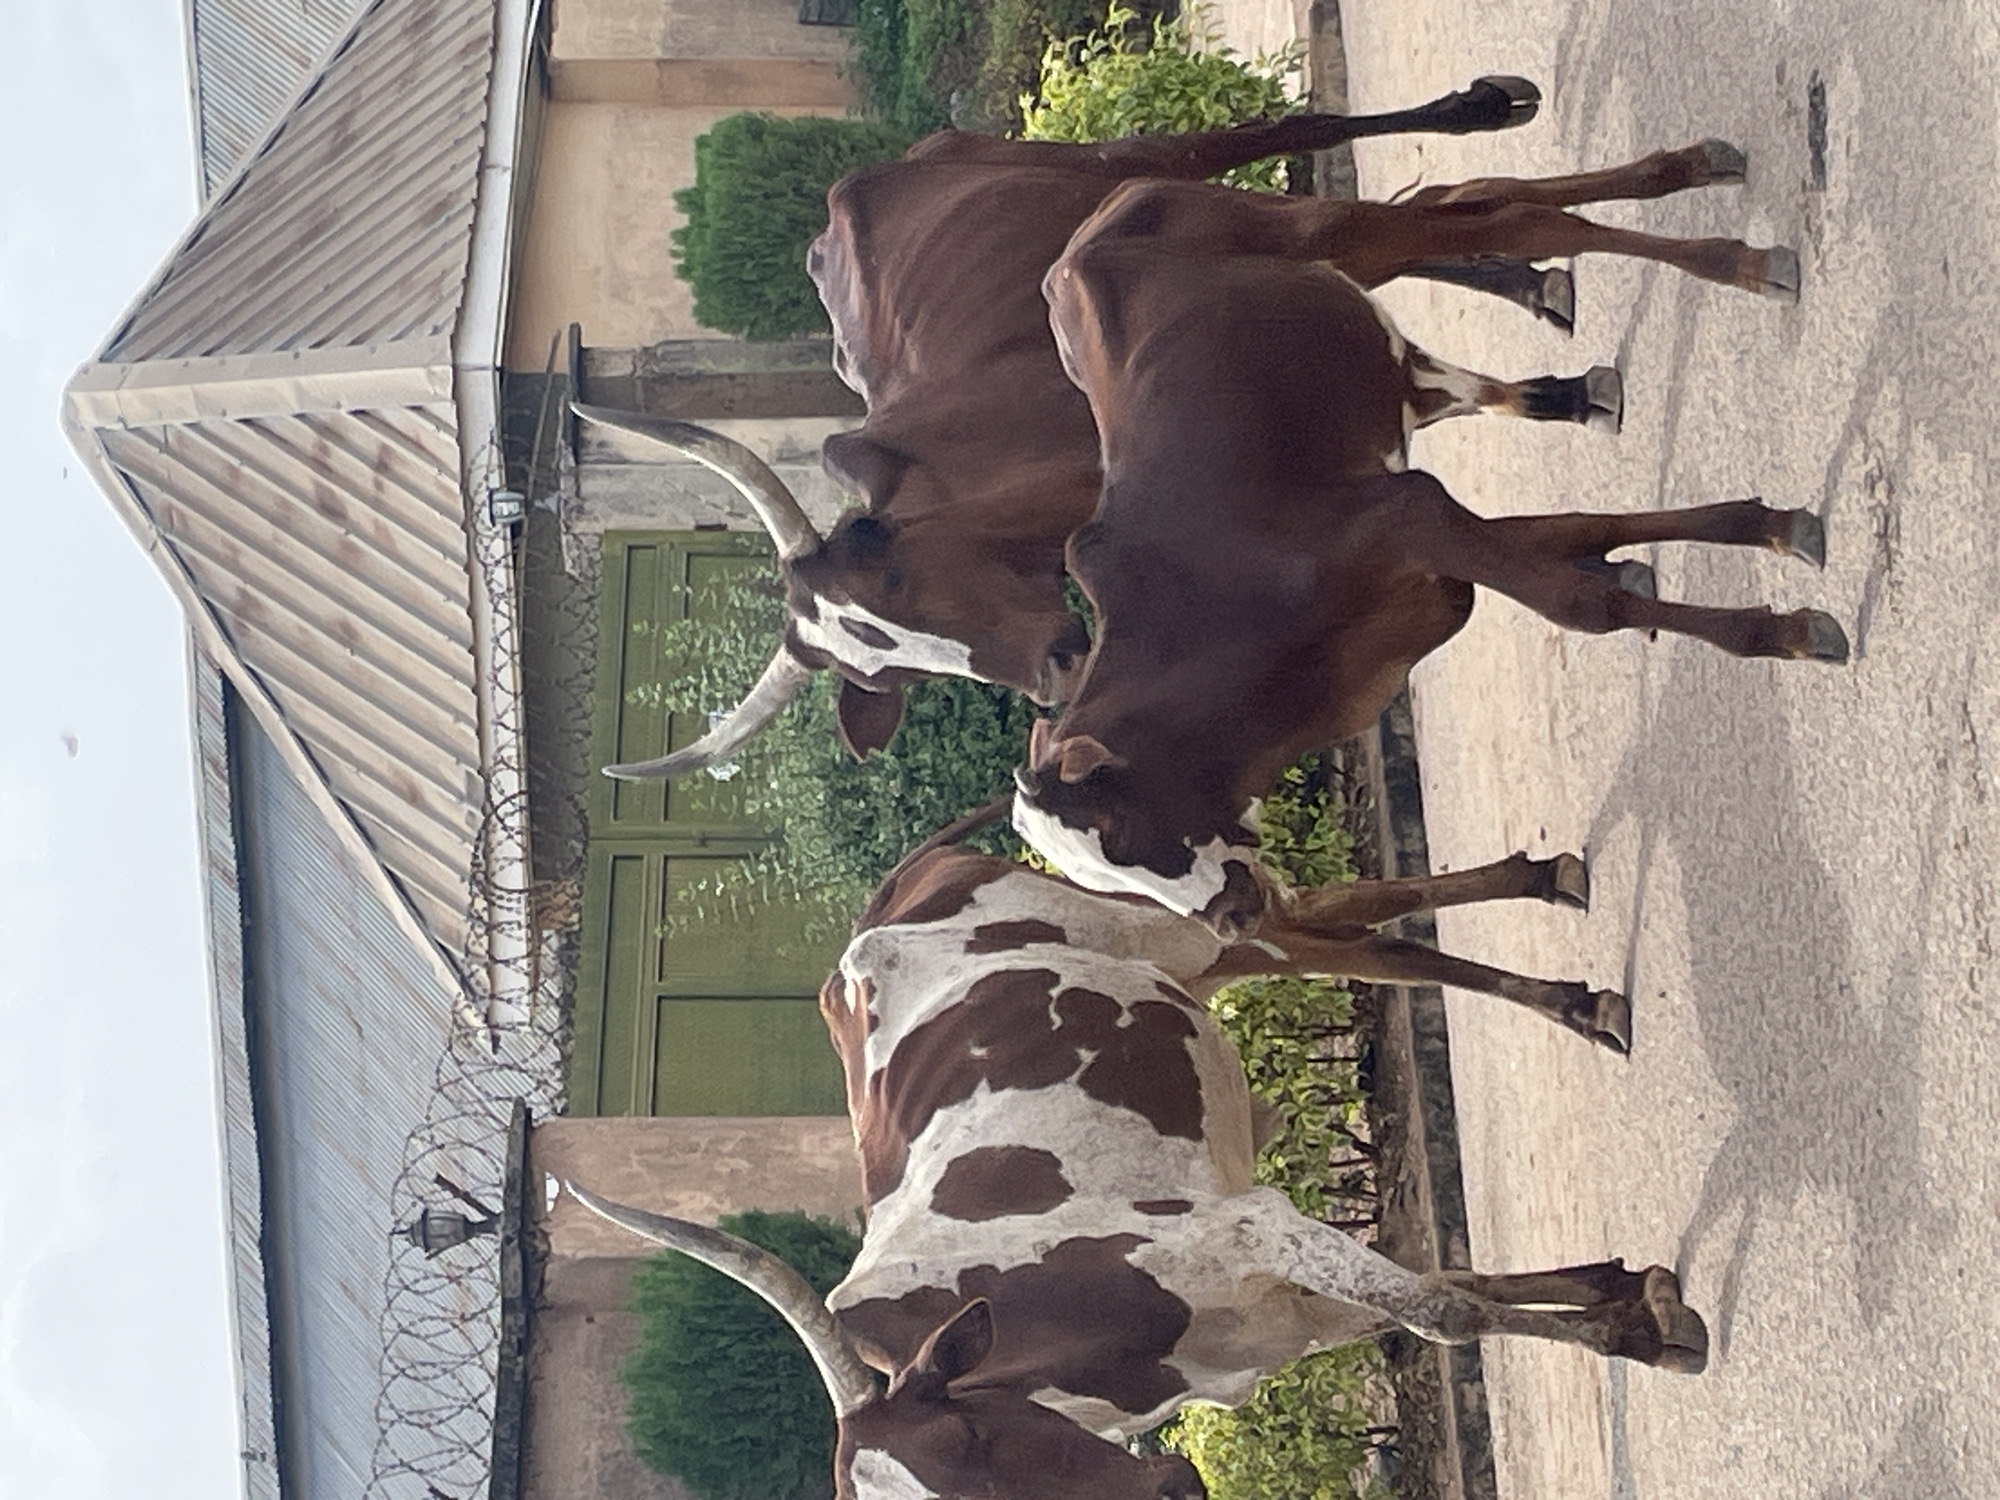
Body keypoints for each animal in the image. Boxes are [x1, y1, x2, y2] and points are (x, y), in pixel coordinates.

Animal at [566, 835, 1704, 1500]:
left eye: (974, 1442)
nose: (1170, 1494)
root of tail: (886, 899)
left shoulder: (1248, 1226)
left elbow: (1449, 1309)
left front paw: (1640, 1329)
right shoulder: (1279, 1321)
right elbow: (1451, 1286)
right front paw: (1624, 1293)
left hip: (1164, 932)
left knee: (1329, 928)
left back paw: (1564, 953)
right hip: (1200, 961)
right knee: (1331, 928)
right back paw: (1554, 944)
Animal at [576, 74, 1633, 778]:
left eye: (892, 584)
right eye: (891, 670)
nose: (1056, 670)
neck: (991, 472)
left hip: (1137, 159)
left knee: (1310, 133)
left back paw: (1487, 115)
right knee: (1388, 228)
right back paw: (1537, 303)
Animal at [1010, 142, 1848, 938]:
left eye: (1116, 833)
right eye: (1099, 885)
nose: (1232, 921)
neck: (1216, 629)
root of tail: (1085, 240)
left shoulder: (1412, 520)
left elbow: (1583, 605)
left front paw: (1781, 632)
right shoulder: (1429, 548)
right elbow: (1585, 530)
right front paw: (1765, 526)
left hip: (1328, 230)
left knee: (1512, 220)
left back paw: (1734, 254)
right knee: (1477, 196)